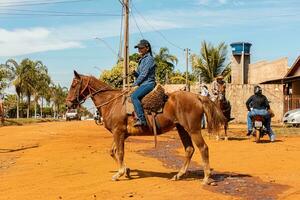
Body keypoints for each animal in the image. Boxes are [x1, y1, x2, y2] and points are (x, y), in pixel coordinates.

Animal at [65, 71, 225, 185]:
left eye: (74, 85)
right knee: (189, 149)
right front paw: (127, 170)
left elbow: (120, 152)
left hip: (193, 129)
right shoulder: (121, 134)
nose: (68, 104)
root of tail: (198, 97)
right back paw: (179, 175)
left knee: (203, 148)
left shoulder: (118, 132)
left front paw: (119, 173)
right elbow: (112, 151)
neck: (112, 102)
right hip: (182, 129)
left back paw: (206, 178)